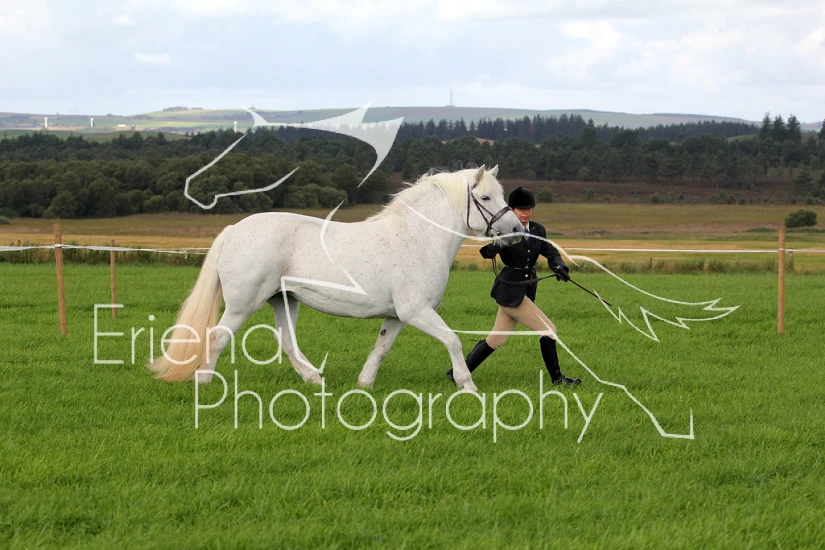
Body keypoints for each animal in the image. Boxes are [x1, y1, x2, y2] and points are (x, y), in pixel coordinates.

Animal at [148, 165, 523, 391]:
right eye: (486, 197)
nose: (518, 231)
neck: (419, 237)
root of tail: (233, 230)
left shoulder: (397, 316)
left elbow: (381, 348)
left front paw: (364, 384)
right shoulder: (417, 311)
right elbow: (453, 340)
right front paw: (467, 385)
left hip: (283, 300)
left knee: (286, 341)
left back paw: (314, 379)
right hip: (243, 304)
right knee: (217, 337)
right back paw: (205, 383)